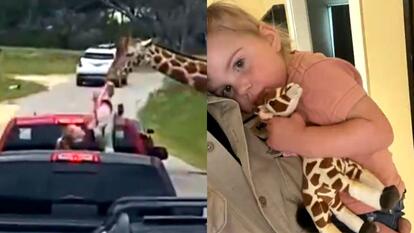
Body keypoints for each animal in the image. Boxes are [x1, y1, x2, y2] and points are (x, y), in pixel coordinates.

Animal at [256, 83, 402, 233]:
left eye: (284, 87)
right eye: (272, 101)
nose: (293, 85)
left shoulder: (350, 167)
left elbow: (370, 179)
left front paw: (390, 192)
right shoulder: (330, 176)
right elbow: (354, 186)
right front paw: (389, 198)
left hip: (329, 200)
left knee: (341, 212)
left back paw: (369, 227)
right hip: (317, 205)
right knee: (325, 224)